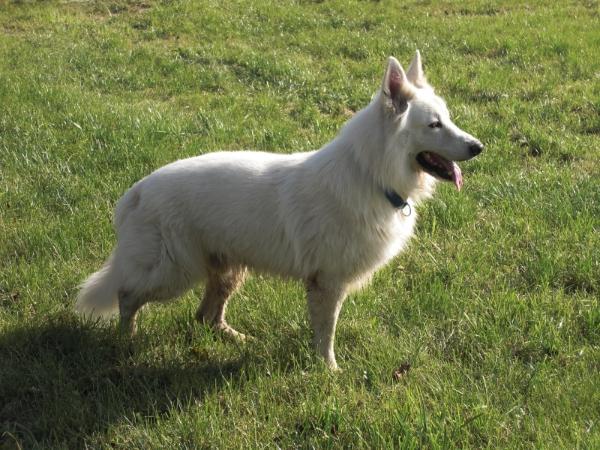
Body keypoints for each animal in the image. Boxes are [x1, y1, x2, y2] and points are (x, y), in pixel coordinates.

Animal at [77, 51, 486, 370]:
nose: (478, 147)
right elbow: (326, 333)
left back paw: (236, 339)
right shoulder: (327, 284)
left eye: (448, 119)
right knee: (128, 295)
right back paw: (127, 339)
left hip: (226, 270)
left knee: (205, 316)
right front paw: (329, 371)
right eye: (434, 125)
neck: (370, 173)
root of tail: (137, 191)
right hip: (174, 272)